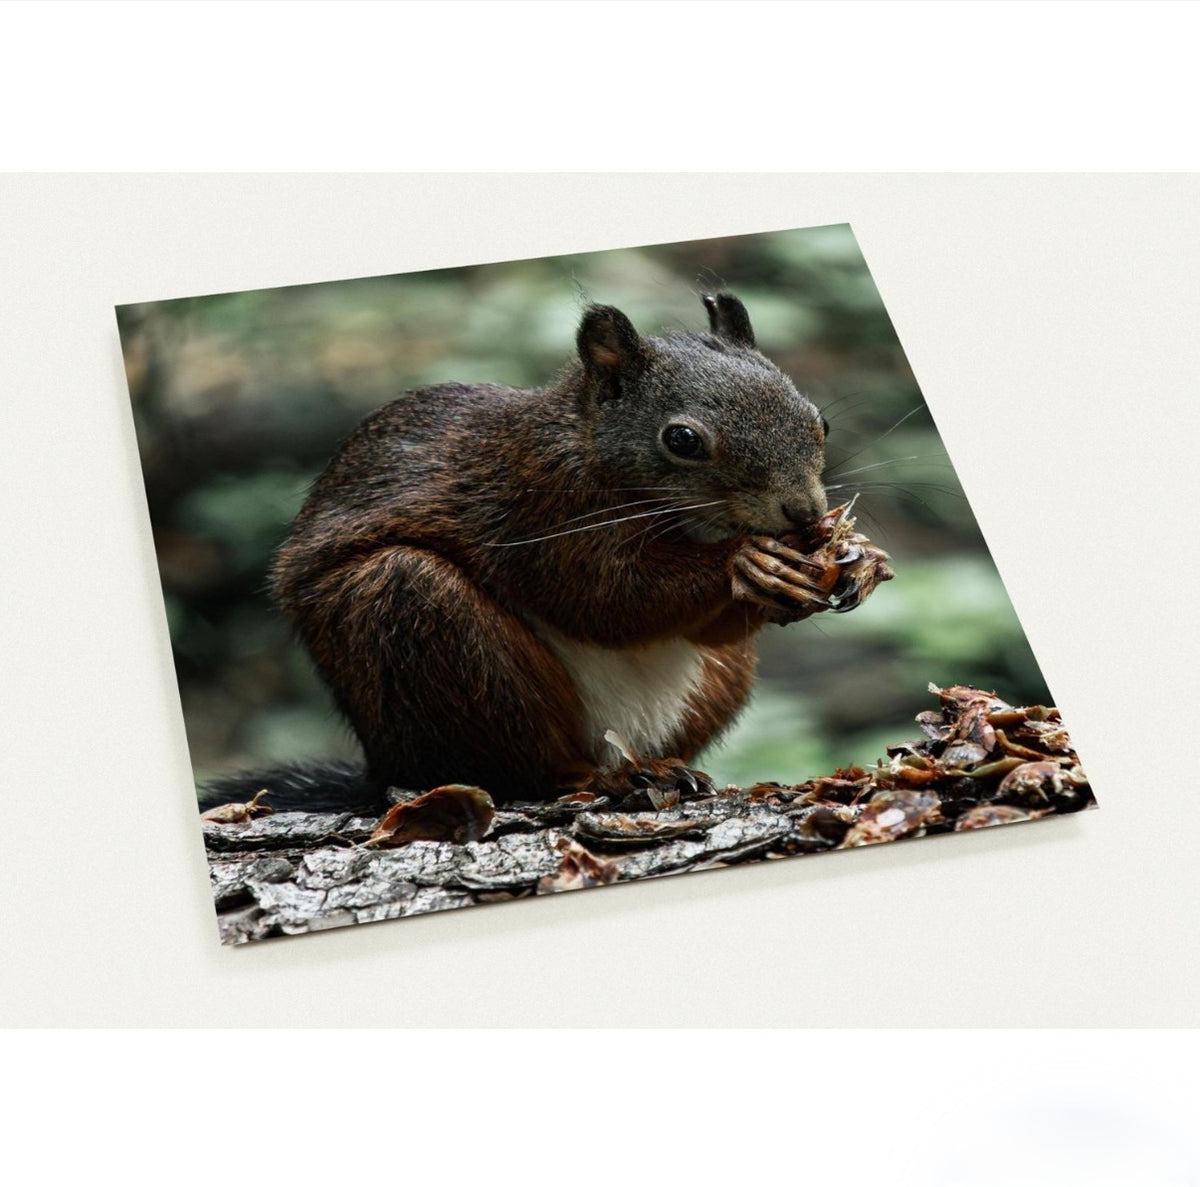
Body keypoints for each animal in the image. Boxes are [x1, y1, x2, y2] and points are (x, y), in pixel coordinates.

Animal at [199, 293, 893, 814]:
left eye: (819, 421)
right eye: (683, 440)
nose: (804, 513)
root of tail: (382, 764)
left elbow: (703, 626)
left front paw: (858, 558)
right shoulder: (541, 508)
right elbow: (608, 599)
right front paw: (745, 564)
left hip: (718, 681)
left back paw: (663, 766)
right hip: (422, 625)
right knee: (526, 768)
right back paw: (609, 778)